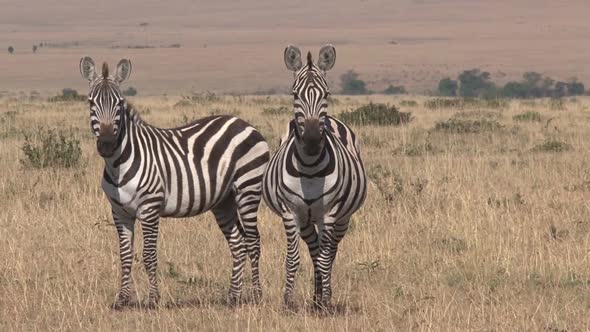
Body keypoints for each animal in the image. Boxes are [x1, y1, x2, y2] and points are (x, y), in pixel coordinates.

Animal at [80, 57, 272, 308]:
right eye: (91, 102)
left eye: (119, 103)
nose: (107, 144)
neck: (118, 163)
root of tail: (243, 123)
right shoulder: (119, 212)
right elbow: (125, 255)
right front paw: (122, 300)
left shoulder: (150, 208)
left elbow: (149, 255)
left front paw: (153, 300)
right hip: (224, 200)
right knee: (238, 244)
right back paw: (233, 297)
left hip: (248, 189)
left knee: (253, 241)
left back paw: (257, 296)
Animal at [262, 44, 368, 312]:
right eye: (294, 94)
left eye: (326, 94)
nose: (311, 141)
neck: (309, 169)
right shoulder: (290, 212)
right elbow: (294, 258)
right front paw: (288, 301)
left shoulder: (331, 212)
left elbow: (326, 257)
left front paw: (327, 301)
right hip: (306, 220)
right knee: (314, 250)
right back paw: (316, 296)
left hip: (341, 219)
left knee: (329, 252)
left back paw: (321, 298)